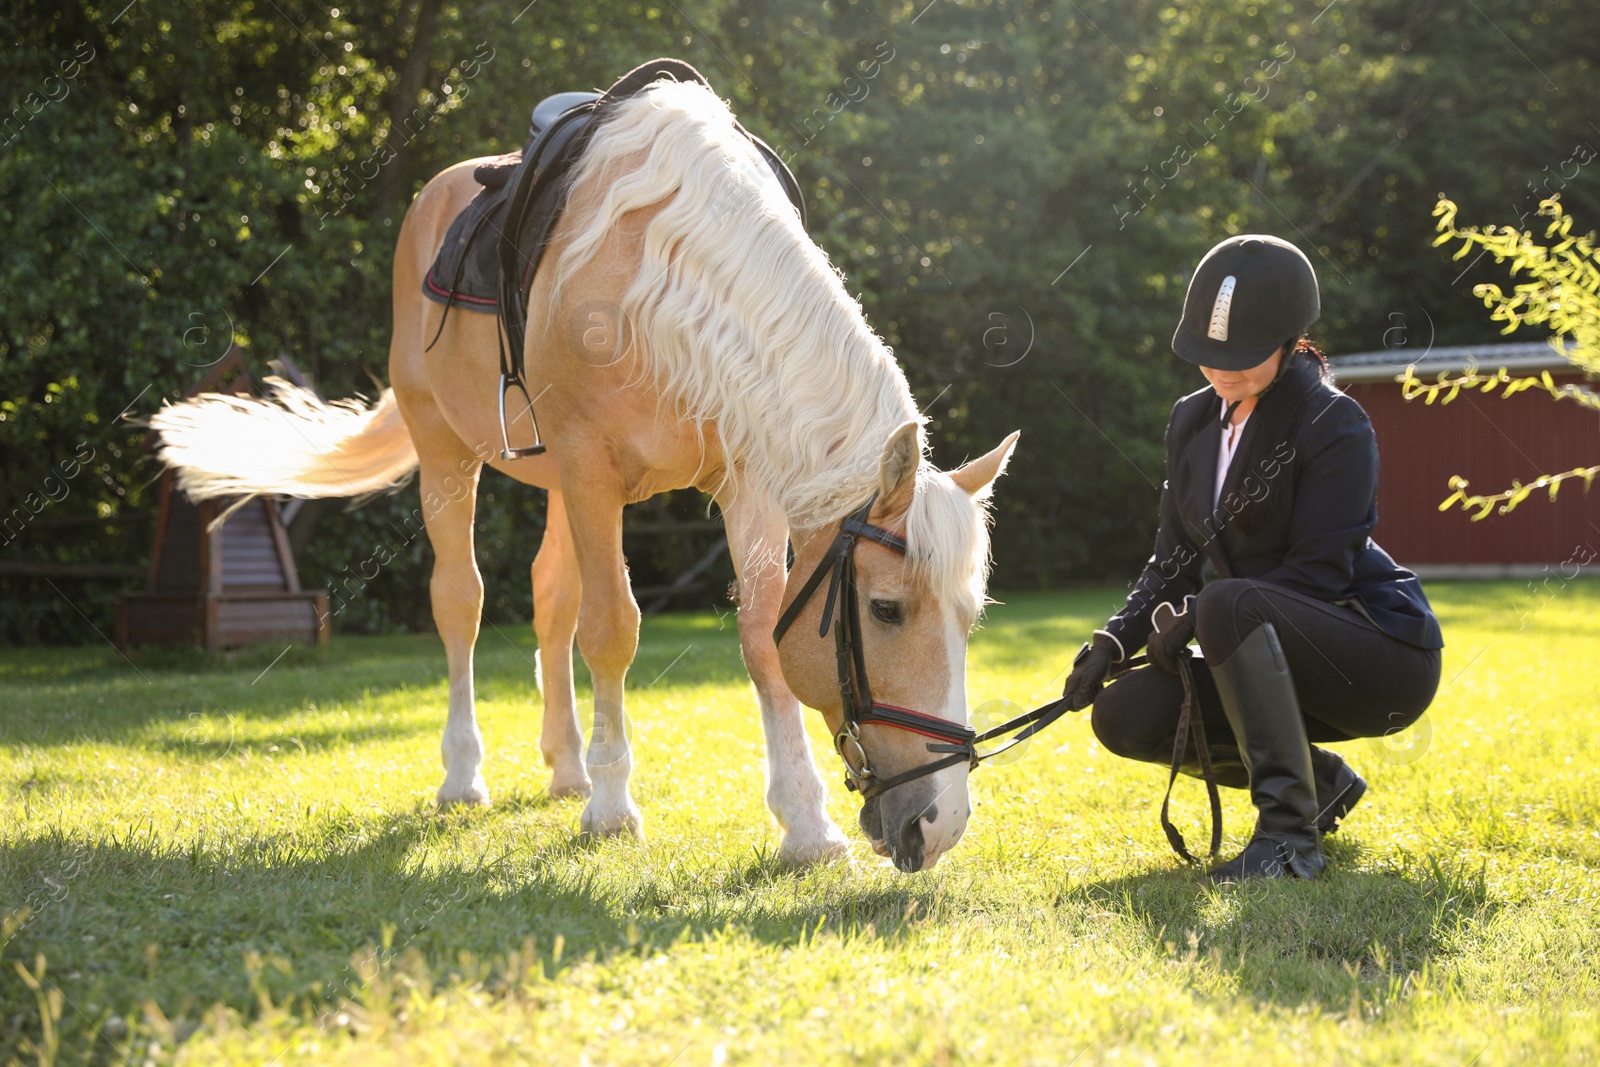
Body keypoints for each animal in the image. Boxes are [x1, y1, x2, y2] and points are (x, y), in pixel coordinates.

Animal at [156, 79, 1017, 870]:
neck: (669, 283)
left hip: (557, 490)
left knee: (549, 599)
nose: (938, 822)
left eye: (968, 616)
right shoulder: (591, 465)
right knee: (461, 601)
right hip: (450, 455)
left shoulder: (746, 482)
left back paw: (565, 764)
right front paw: (611, 806)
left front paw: (805, 825)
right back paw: (465, 776)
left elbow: (761, 636)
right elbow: (611, 628)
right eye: (885, 609)